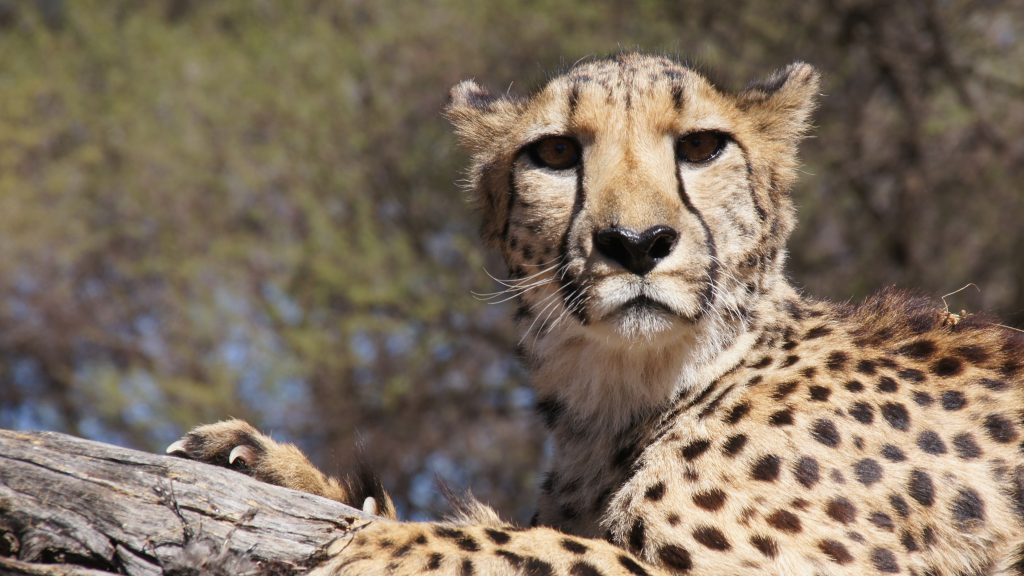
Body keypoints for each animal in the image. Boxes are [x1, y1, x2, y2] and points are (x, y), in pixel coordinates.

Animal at [167, 53, 1024, 575]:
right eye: (553, 154)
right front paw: (272, 466)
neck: (620, 396)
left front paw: (374, 535)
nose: (635, 243)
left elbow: (524, 544)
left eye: (703, 146)